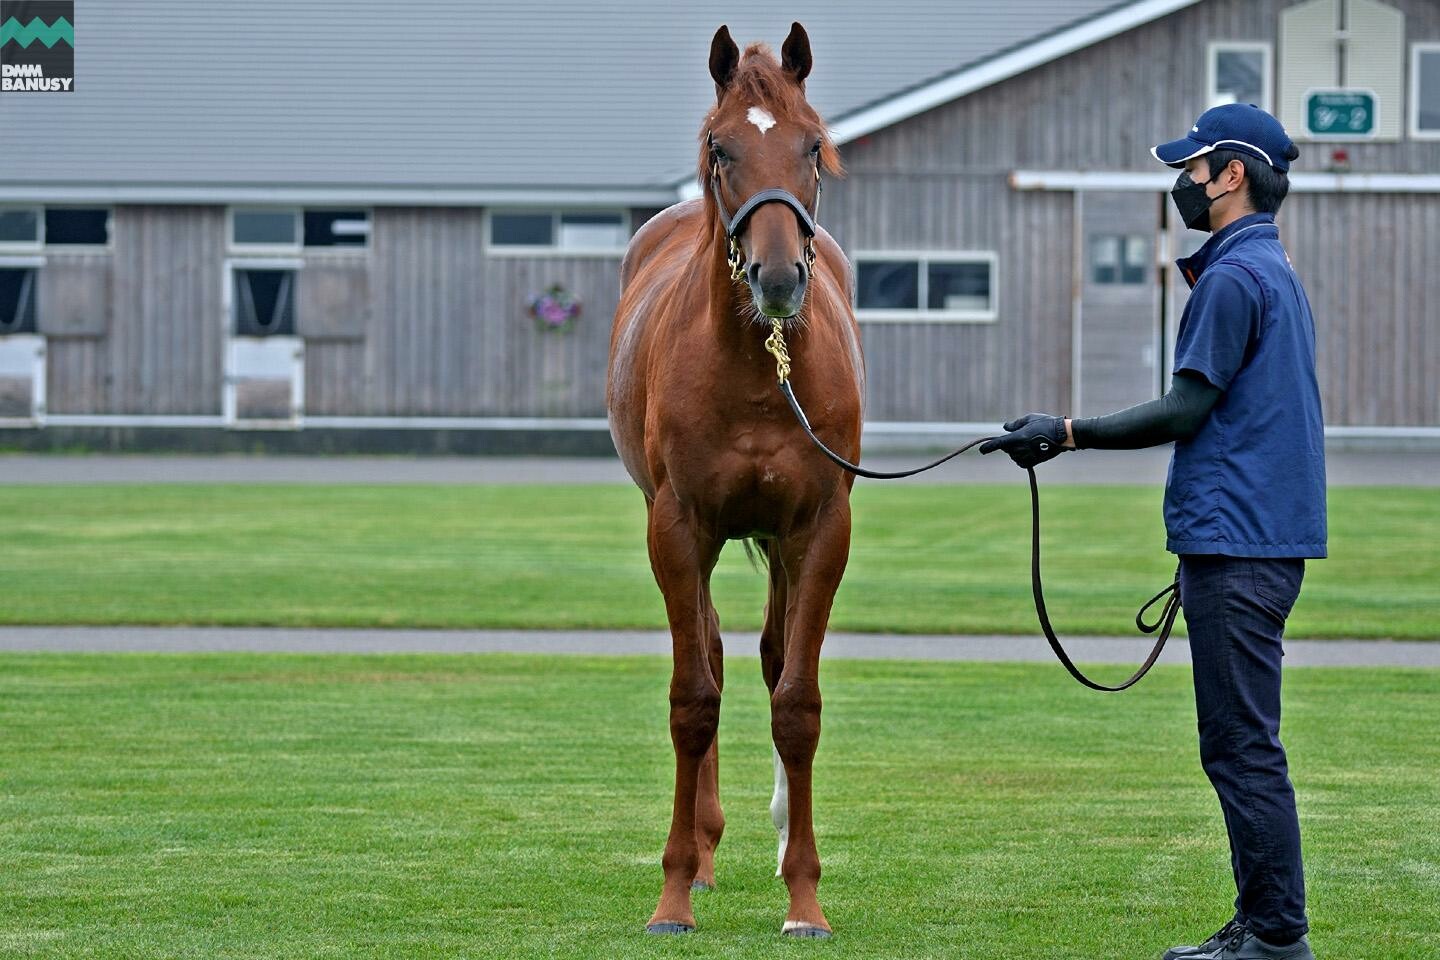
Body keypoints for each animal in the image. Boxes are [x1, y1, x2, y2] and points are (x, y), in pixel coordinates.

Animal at [604, 20, 858, 938]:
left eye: (812, 144)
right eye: (721, 148)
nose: (779, 279)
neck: (759, 369)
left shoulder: (820, 528)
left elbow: (797, 701)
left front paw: (806, 898)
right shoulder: (678, 527)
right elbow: (693, 699)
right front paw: (674, 892)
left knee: (775, 654)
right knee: (711, 652)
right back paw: (708, 852)